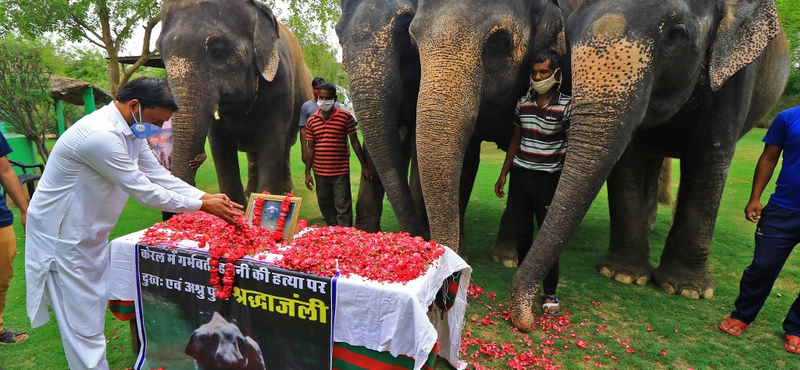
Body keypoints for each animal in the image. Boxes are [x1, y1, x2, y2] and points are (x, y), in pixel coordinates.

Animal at [155, 0, 310, 205]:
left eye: (218, 50)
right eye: (161, 55)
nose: (195, 160)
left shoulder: (281, 85)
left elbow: (272, 141)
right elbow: (219, 146)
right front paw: (235, 208)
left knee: (285, 145)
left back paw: (285, 191)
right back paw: (250, 191)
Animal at [510, 0, 792, 330]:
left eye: (677, 34)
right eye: (571, 32)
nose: (525, 319)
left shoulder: (737, 74)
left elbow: (710, 157)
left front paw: (687, 290)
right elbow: (628, 160)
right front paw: (624, 275)